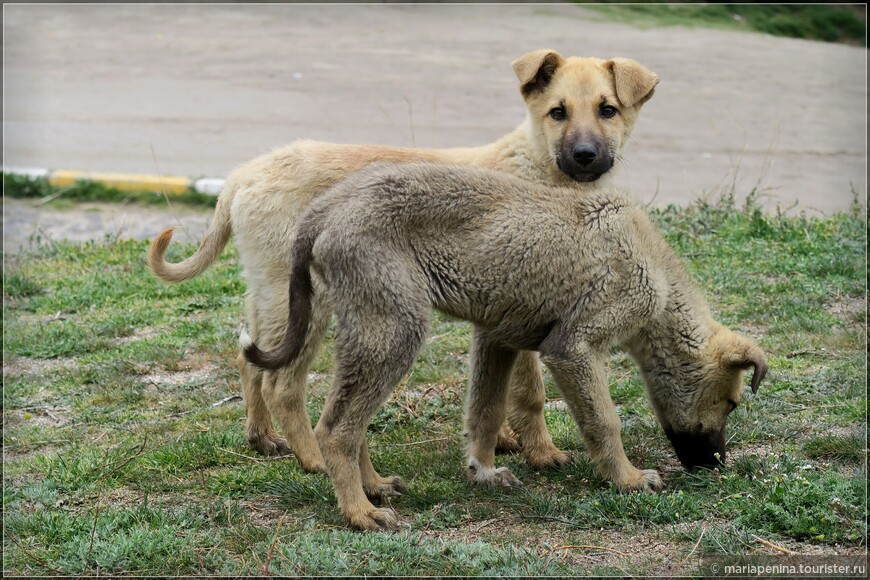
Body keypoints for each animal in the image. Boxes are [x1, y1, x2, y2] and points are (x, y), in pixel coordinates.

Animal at [148, 49, 660, 476]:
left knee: (251, 359)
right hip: (307, 301)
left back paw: (263, 438)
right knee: (282, 385)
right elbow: (529, 392)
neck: (538, 167)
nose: (585, 156)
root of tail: (240, 177)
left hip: (268, 293)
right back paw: (314, 459)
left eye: (608, 110)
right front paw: (541, 452)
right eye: (558, 112)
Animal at [242, 162, 768, 532]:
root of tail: (321, 211)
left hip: (368, 330)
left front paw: (484, 472)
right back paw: (358, 512)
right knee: (336, 429)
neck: (654, 267)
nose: (716, 467)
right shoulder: (572, 347)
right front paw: (628, 479)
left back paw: (373, 487)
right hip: (395, 328)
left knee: (352, 422)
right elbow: (605, 421)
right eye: (733, 403)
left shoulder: (497, 337)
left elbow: (487, 412)